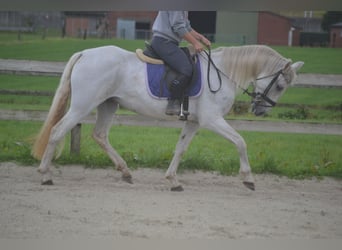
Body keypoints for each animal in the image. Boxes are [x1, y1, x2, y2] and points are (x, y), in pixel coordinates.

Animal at [32, 44, 304, 190]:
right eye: (280, 85)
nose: (261, 111)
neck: (223, 73)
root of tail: (86, 53)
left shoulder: (194, 122)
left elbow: (180, 149)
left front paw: (173, 181)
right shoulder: (212, 120)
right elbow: (240, 142)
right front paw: (248, 179)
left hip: (108, 105)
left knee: (100, 135)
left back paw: (126, 172)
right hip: (82, 105)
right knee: (57, 132)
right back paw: (45, 175)